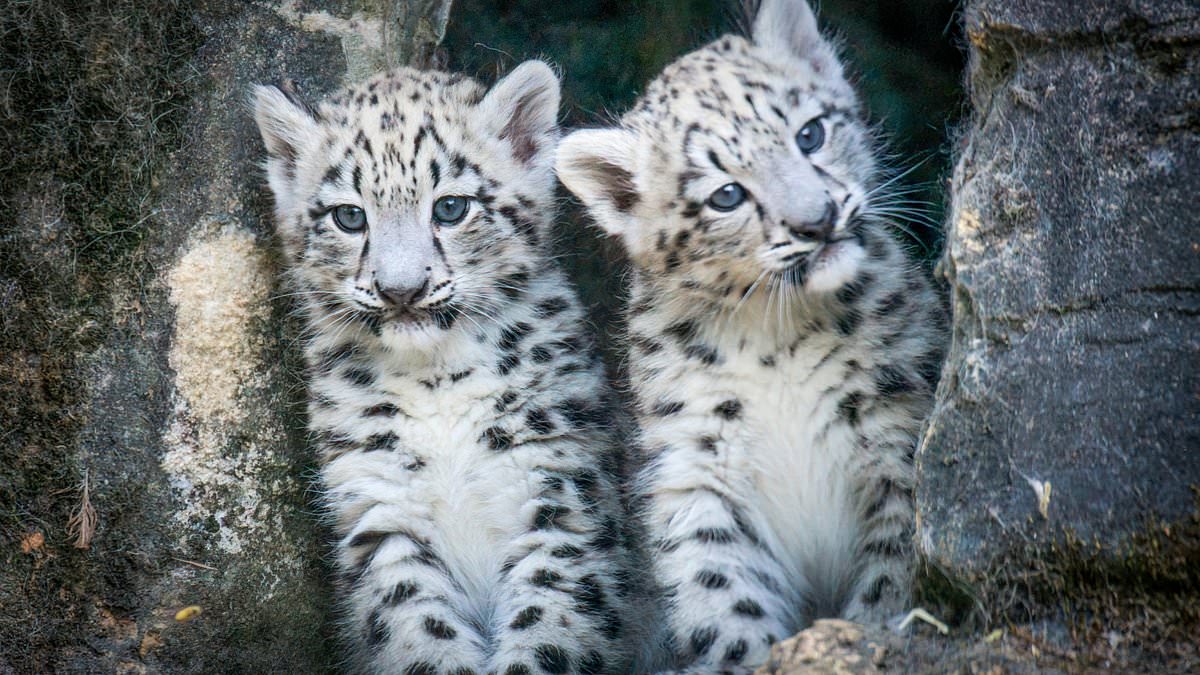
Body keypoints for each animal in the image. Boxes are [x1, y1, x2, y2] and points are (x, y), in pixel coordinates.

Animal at [254, 60, 648, 674]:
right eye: (349, 216)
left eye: (450, 207)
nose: (400, 290)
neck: (436, 380)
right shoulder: (382, 509)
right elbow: (419, 633)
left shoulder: (563, 497)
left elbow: (550, 630)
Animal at [555, 0, 948, 670]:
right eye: (726, 195)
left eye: (810, 133)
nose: (818, 220)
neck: (776, 337)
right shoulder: (696, 465)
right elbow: (720, 590)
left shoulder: (894, 436)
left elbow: (892, 570)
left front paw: (869, 635)